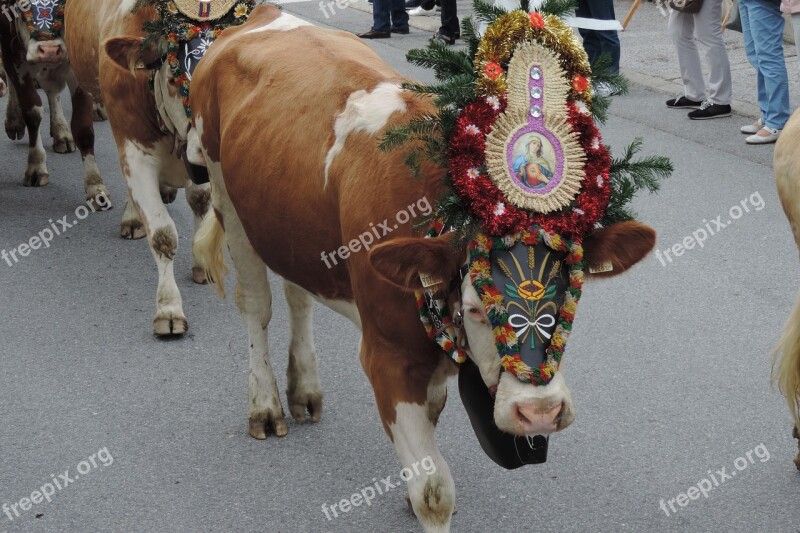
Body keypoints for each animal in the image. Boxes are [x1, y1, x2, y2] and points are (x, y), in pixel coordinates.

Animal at [0, 0, 108, 201]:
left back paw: (62, 132)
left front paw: (95, 185)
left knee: (53, 92)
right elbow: (32, 112)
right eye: (23, 6)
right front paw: (36, 166)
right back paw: (14, 120)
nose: (49, 51)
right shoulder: (12, 50)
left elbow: (82, 127)